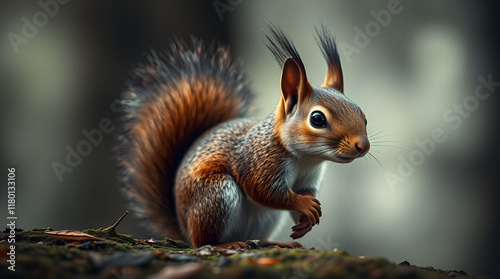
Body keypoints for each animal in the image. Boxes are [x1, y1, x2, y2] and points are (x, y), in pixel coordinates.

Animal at [115, 24, 370, 249]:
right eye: (317, 119)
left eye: (363, 115)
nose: (363, 146)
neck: (306, 159)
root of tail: (184, 227)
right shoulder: (258, 162)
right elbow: (264, 192)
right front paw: (303, 204)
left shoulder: (309, 177)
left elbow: (303, 192)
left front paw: (306, 220)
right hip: (216, 194)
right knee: (202, 242)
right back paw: (223, 245)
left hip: (265, 219)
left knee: (257, 238)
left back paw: (277, 243)